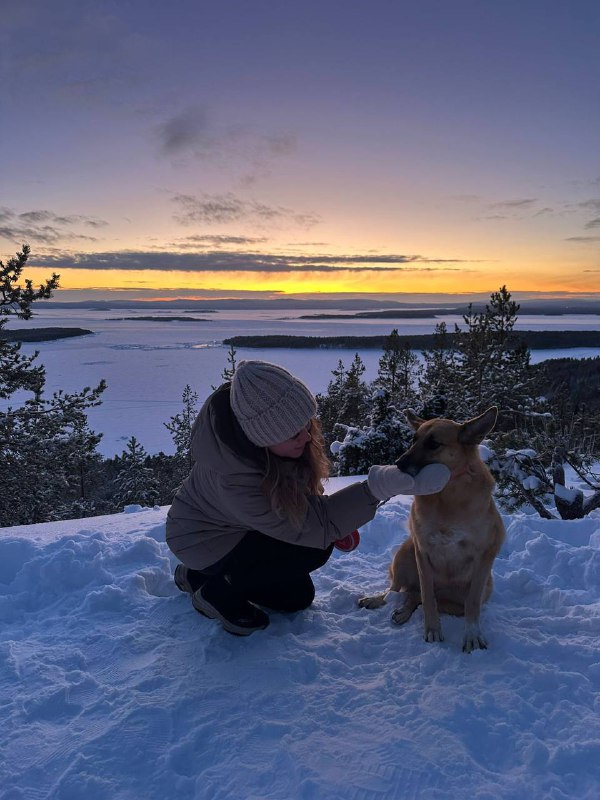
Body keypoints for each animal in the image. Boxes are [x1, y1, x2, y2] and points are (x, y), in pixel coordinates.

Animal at [360, 406, 506, 648]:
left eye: (434, 444)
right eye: (413, 439)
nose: (398, 463)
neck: (446, 496)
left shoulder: (485, 554)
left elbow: (471, 603)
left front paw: (472, 634)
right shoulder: (423, 551)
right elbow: (427, 597)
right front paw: (433, 630)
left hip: (474, 590)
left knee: (418, 596)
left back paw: (403, 610)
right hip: (405, 552)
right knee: (400, 590)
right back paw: (379, 600)